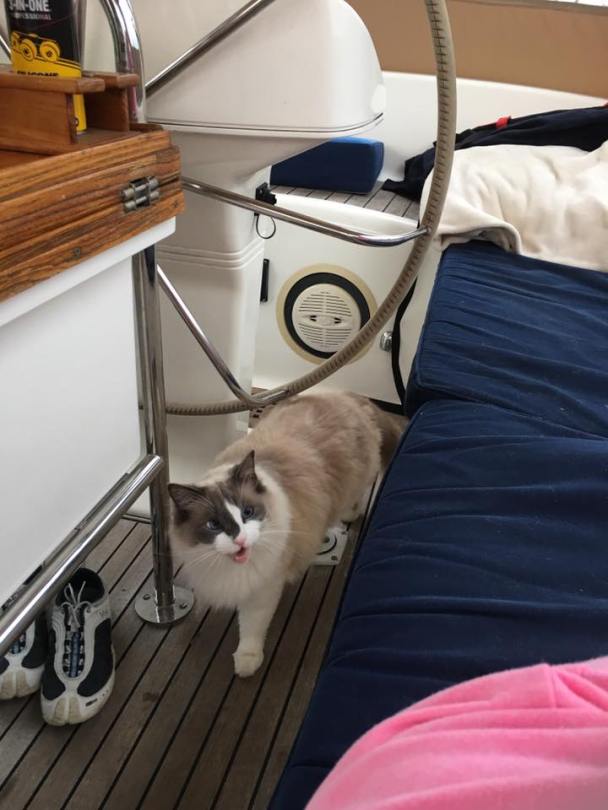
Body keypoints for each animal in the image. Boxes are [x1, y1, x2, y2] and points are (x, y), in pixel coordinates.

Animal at [168, 391, 405, 678]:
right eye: (214, 525)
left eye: (248, 512)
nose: (240, 539)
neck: (232, 568)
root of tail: (348, 396)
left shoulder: (265, 588)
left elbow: (252, 628)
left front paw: (247, 661)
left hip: (357, 476)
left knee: (359, 492)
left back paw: (350, 513)